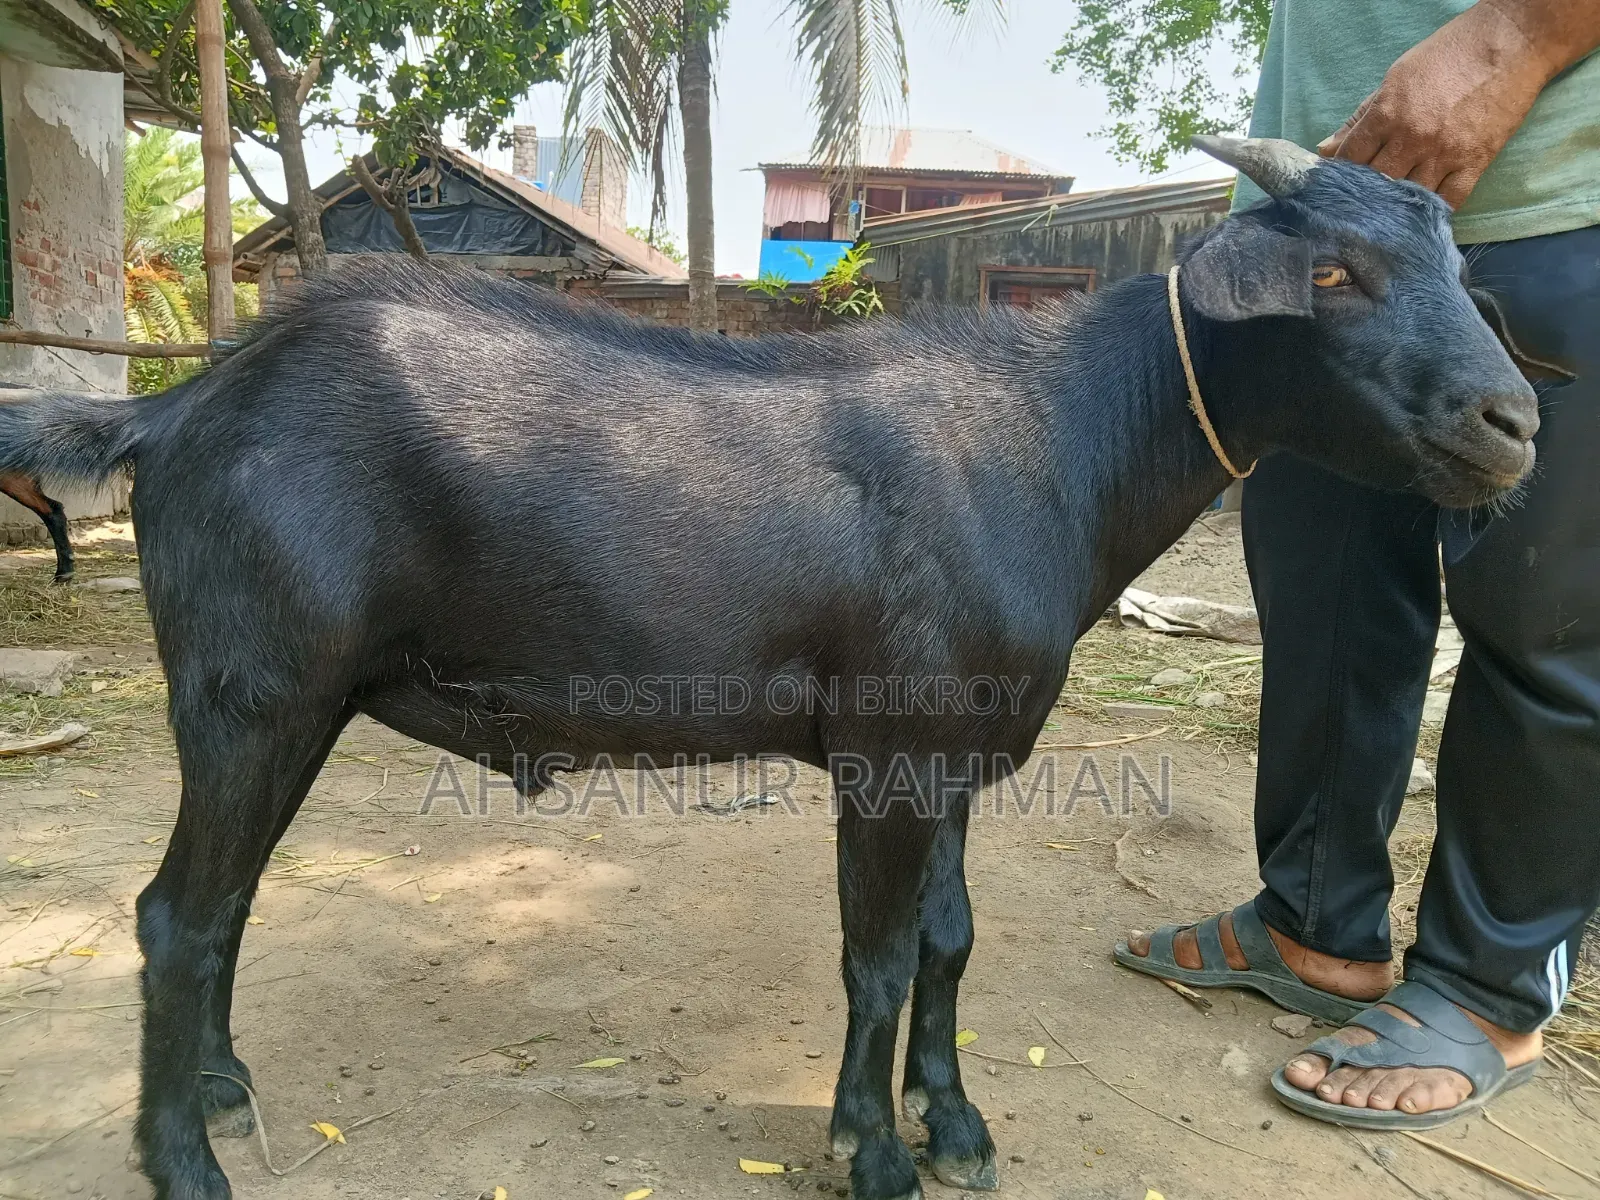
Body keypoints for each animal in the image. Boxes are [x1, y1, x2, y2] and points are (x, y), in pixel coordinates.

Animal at [0, 138, 1545, 1200]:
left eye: (1466, 276)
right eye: (1332, 273)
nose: (1512, 422)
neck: (1058, 442)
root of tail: (178, 410)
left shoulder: (960, 749)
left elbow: (948, 940)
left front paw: (958, 1127)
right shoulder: (886, 751)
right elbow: (875, 955)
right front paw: (875, 1150)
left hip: (292, 705)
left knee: (226, 910)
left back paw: (227, 1097)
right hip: (251, 690)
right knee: (174, 918)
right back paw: (185, 1162)